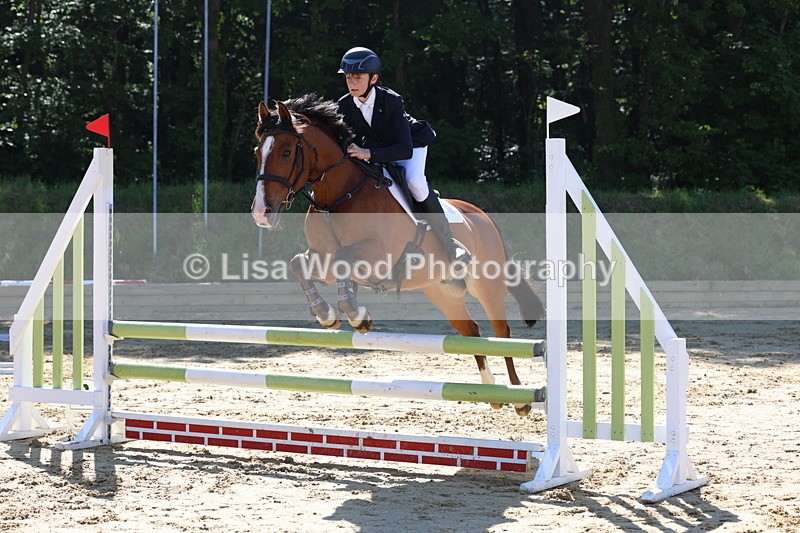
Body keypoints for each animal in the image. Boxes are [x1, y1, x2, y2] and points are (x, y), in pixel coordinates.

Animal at [250, 94, 545, 416]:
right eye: (257, 151)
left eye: (286, 152)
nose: (262, 213)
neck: (339, 197)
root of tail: (482, 217)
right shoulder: (322, 259)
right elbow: (300, 264)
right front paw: (328, 315)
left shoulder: (378, 256)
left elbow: (343, 258)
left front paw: (356, 316)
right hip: (442, 292)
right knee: (472, 332)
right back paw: (492, 392)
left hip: (485, 284)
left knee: (501, 331)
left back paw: (519, 398)